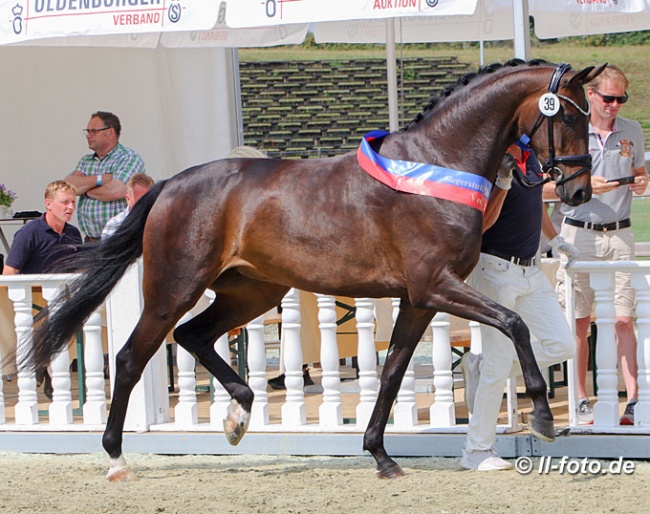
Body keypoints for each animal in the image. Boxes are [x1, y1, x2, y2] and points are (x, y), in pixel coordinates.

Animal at [25, 58, 604, 478]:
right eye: (569, 116)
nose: (578, 192)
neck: (438, 164)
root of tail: (169, 185)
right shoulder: (436, 286)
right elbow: (516, 323)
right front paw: (545, 417)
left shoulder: (418, 299)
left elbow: (392, 372)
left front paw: (381, 456)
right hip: (174, 289)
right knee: (130, 357)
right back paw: (116, 459)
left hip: (252, 292)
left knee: (193, 337)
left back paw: (238, 415)